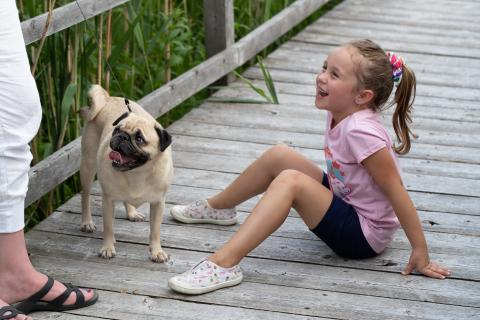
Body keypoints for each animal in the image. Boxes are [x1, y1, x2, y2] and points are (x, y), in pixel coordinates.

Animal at [79, 85, 173, 262]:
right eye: (116, 130)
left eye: (139, 139)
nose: (122, 137)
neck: (137, 174)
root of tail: (108, 98)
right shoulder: (108, 200)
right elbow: (108, 227)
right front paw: (108, 248)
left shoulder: (158, 203)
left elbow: (155, 231)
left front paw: (156, 251)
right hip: (88, 165)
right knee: (85, 196)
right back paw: (86, 222)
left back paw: (132, 213)